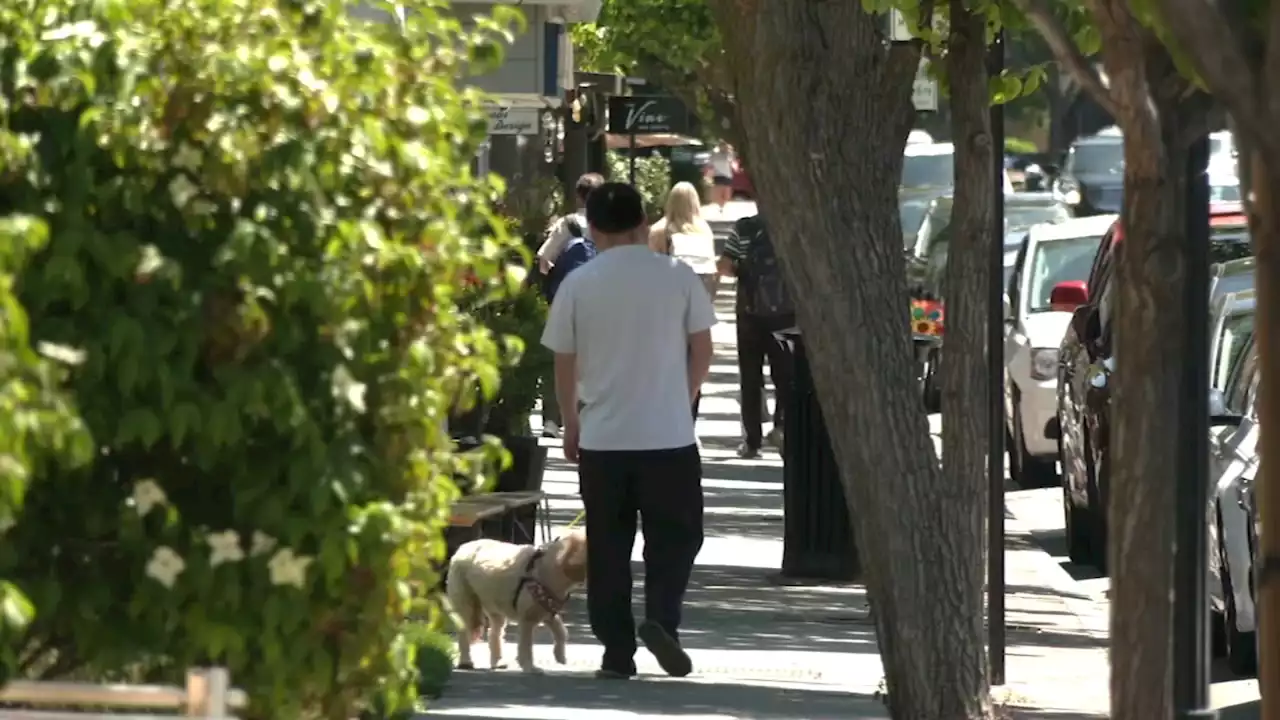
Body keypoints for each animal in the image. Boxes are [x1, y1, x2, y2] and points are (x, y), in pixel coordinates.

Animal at [445, 527, 588, 671]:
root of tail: (462, 547)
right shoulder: (528, 618)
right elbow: (526, 644)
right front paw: (529, 666)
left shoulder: (547, 610)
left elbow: (561, 632)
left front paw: (560, 656)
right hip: (466, 602)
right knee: (464, 631)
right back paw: (466, 662)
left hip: (495, 606)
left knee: (494, 633)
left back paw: (497, 662)